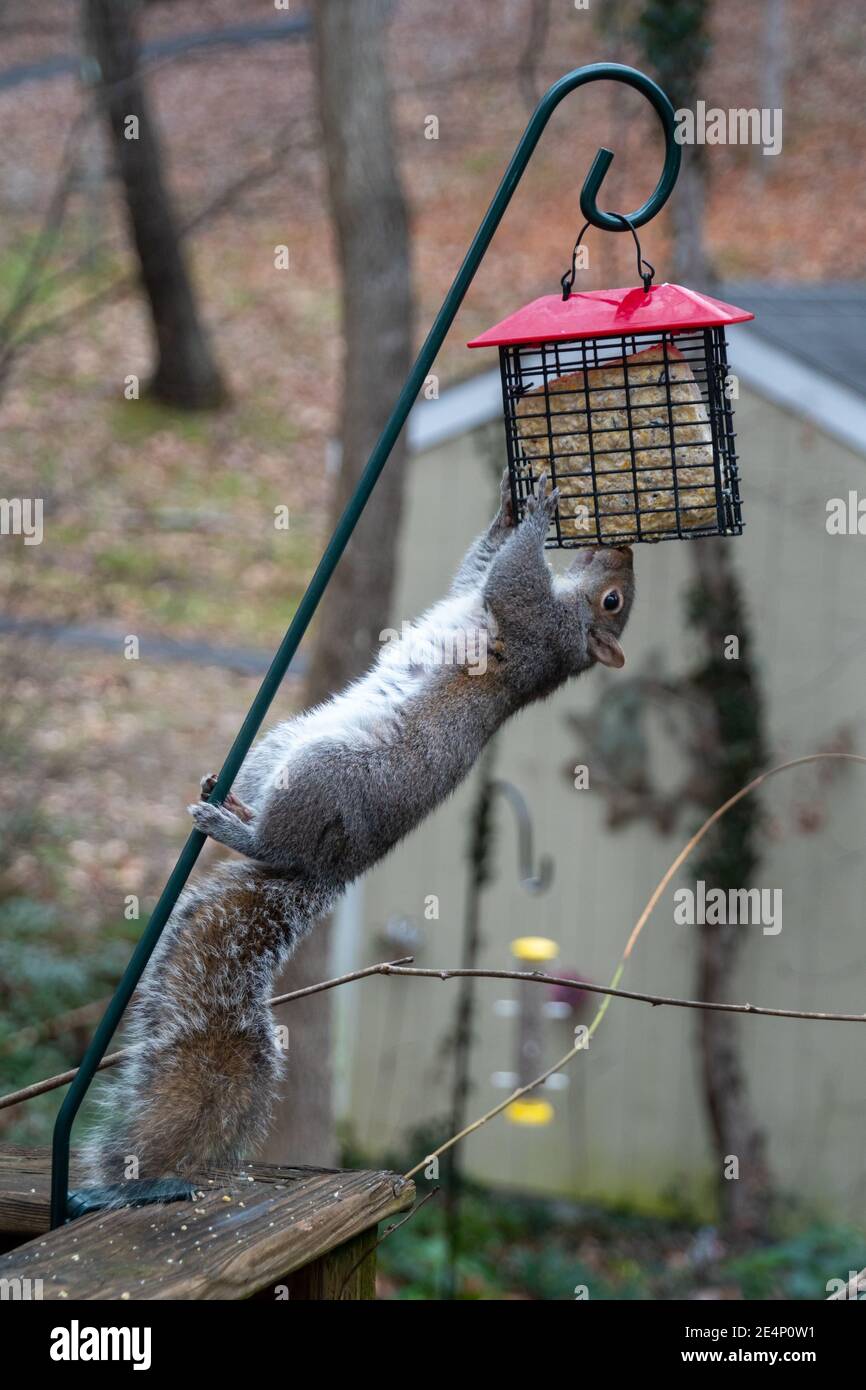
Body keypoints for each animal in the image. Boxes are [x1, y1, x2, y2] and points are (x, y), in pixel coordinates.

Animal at [84, 471, 634, 1186]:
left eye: (615, 600)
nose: (624, 547)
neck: (571, 622)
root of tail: (332, 866)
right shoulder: (499, 602)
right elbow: (480, 565)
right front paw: (510, 508)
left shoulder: (535, 628)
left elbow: (508, 583)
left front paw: (538, 512)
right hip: (281, 747)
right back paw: (227, 801)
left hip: (323, 771)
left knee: (275, 841)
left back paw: (231, 828)